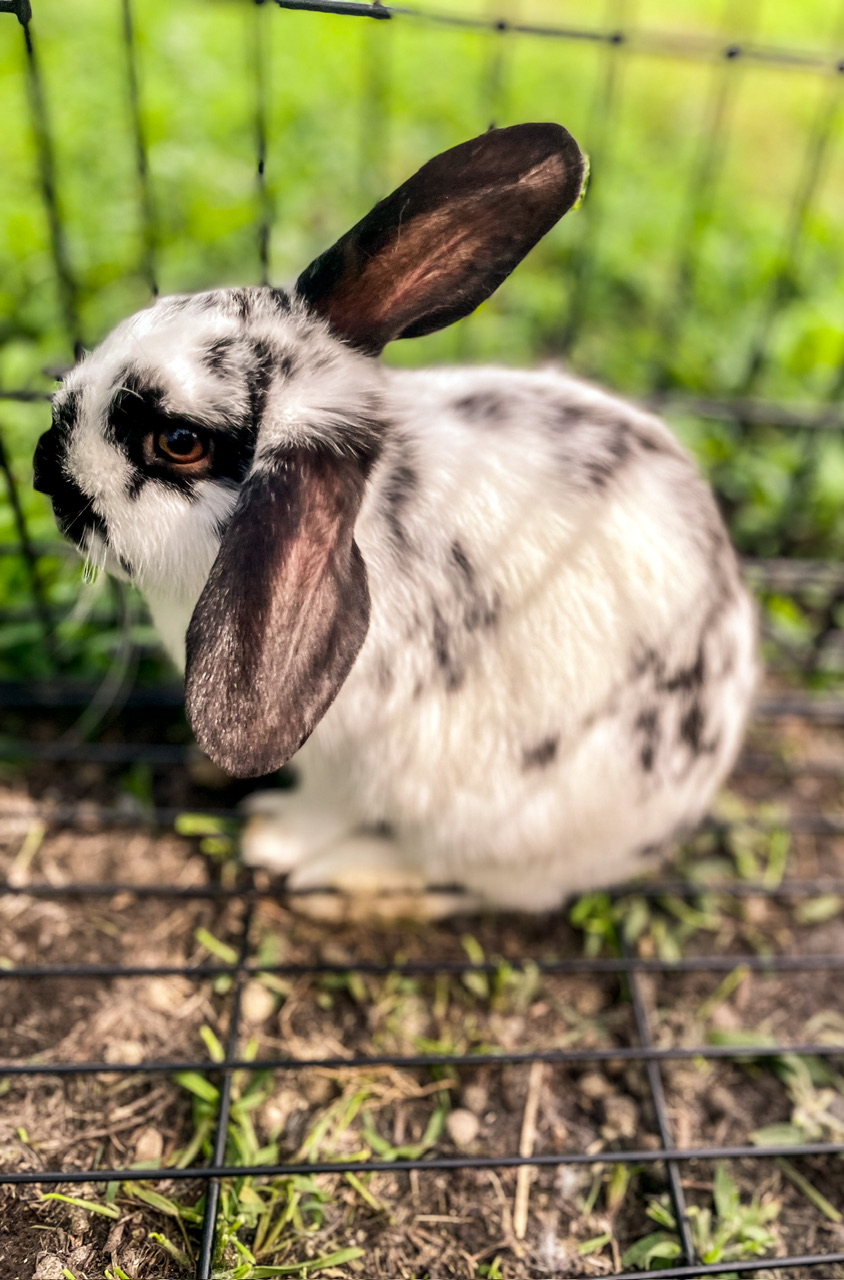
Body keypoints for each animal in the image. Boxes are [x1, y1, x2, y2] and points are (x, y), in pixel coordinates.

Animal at [33, 122, 758, 917]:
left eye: (179, 442)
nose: (44, 471)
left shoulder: (343, 758)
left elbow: (326, 807)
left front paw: (272, 837)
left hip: (491, 829)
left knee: (457, 879)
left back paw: (342, 879)